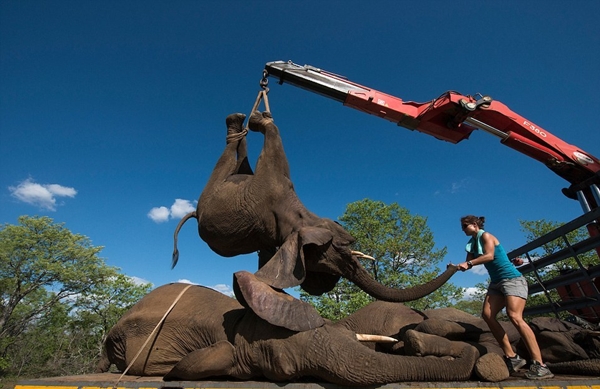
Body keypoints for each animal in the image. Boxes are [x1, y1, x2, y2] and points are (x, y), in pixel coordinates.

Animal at [171, 110, 458, 328]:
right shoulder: (275, 181)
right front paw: (261, 120)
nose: (452, 264)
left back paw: (239, 125)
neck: (300, 217)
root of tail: (196, 212)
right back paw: (237, 122)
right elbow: (274, 145)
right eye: (339, 252)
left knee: (240, 160)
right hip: (209, 193)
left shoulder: (272, 240)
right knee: (229, 159)